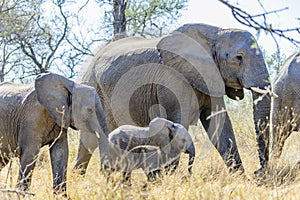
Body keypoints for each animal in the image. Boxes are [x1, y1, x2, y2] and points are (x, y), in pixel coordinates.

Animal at [75, 22, 272, 175]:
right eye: (239, 57)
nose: (259, 172)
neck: (215, 33)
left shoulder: (210, 76)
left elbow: (219, 124)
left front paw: (240, 178)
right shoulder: (173, 78)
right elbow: (180, 120)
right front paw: (167, 178)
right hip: (92, 89)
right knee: (89, 140)